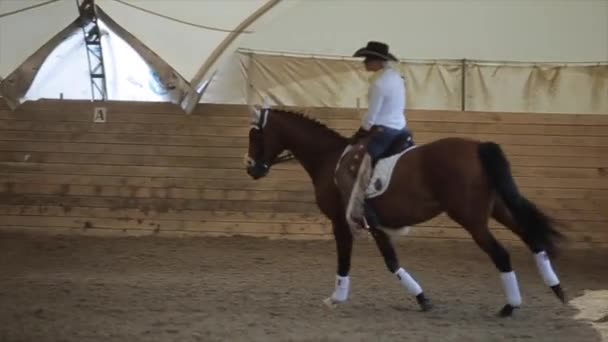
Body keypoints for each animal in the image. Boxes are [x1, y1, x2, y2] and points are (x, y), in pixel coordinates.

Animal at [242, 105, 564, 316]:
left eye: (255, 135)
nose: (252, 169)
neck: (329, 159)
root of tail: (477, 146)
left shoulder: (341, 222)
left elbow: (348, 260)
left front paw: (336, 298)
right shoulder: (376, 225)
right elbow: (391, 261)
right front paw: (422, 299)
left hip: (472, 219)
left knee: (501, 254)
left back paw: (511, 306)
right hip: (497, 208)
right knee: (532, 237)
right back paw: (556, 289)